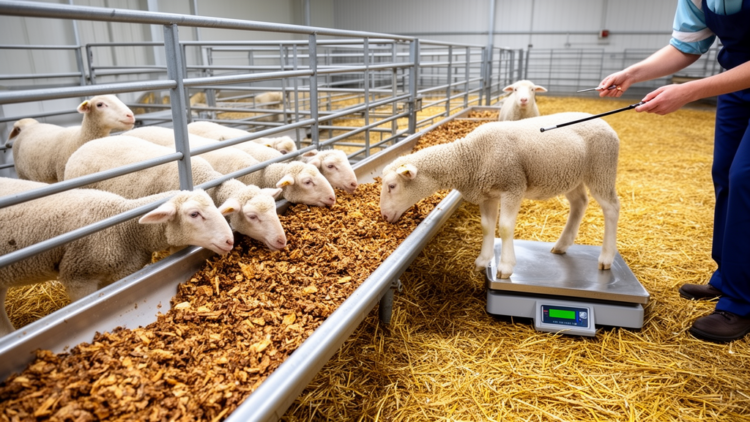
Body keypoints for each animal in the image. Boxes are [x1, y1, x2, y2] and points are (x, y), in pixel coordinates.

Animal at [7, 95, 136, 183]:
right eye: (99, 104)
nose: (130, 116)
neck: (79, 138)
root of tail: (27, 128)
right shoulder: (61, 173)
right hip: (22, 174)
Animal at [379, 112, 620, 279]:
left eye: (392, 186)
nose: (384, 216)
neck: (470, 157)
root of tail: (606, 125)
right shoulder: (488, 194)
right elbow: (487, 226)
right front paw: (483, 261)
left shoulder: (513, 186)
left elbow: (504, 227)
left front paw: (505, 267)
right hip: (572, 175)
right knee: (579, 203)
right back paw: (561, 245)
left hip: (601, 169)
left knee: (611, 208)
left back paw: (606, 258)